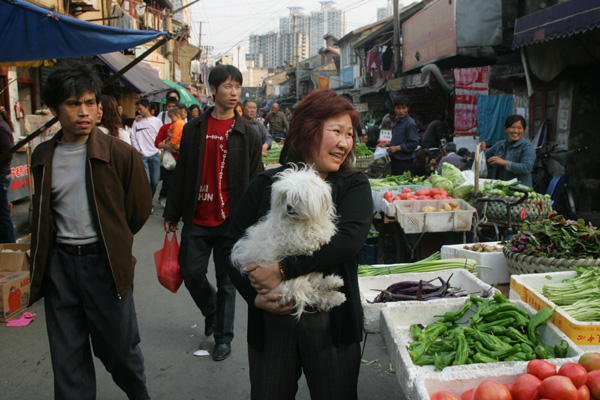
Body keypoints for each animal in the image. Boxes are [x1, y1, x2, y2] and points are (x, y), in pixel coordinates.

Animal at [232, 164, 350, 318]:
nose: (288, 206)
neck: (302, 221)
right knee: (313, 293)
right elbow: (311, 239)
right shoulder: (292, 240)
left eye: (298, 197)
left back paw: (334, 284)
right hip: (286, 287)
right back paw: (334, 294)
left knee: (315, 286)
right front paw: (321, 237)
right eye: (285, 197)